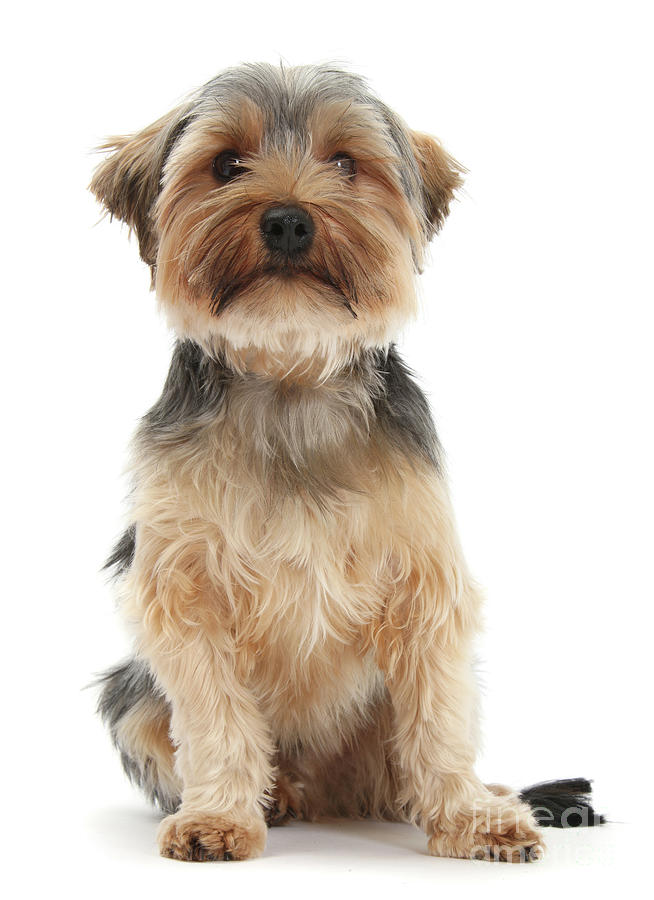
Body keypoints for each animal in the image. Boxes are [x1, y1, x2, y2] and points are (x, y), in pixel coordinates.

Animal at [92, 63, 604, 864]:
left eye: (345, 163)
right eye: (226, 164)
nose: (287, 220)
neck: (291, 378)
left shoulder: (422, 575)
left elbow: (438, 709)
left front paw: (469, 816)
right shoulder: (186, 587)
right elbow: (214, 714)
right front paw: (220, 818)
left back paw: (484, 794)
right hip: (131, 696)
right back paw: (278, 798)